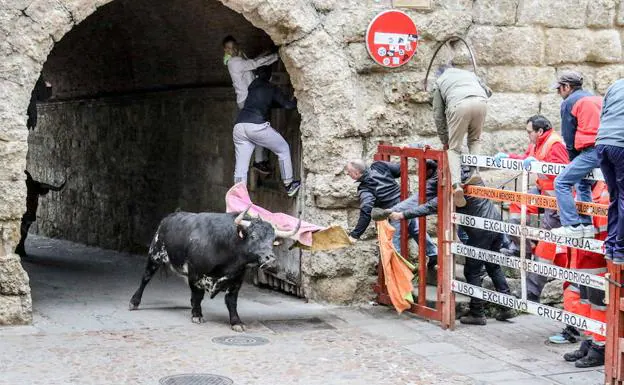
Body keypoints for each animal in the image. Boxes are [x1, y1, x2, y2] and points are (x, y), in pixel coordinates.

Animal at [129, 207, 300, 330]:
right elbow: (197, 296)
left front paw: (236, 322)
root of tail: (169, 218)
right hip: (154, 255)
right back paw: (134, 302)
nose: (270, 259)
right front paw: (197, 315)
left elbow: (231, 302)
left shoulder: (236, 280)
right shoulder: (195, 274)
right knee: (145, 278)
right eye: (253, 236)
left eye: (273, 241)